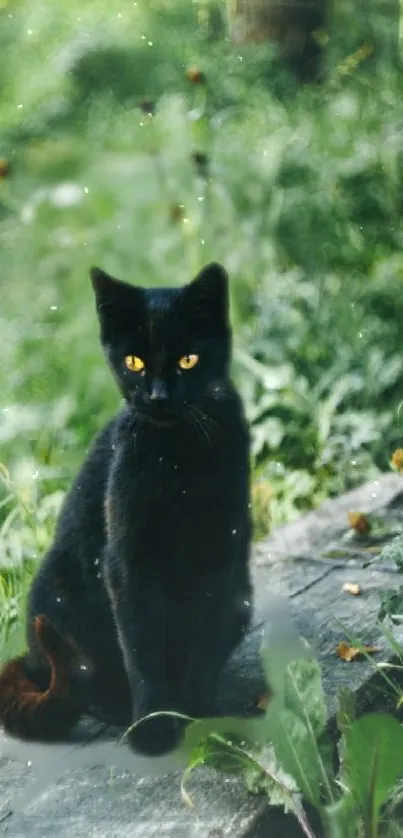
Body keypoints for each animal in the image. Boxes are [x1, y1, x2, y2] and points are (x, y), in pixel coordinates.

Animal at [0, 262, 252, 756]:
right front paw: (153, 727)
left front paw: (201, 715)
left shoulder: (223, 555)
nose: (157, 396)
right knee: (83, 679)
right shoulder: (127, 561)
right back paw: (118, 708)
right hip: (57, 598)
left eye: (188, 359)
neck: (178, 458)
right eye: (133, 362)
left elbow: (205, 640)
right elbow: (142, 648)